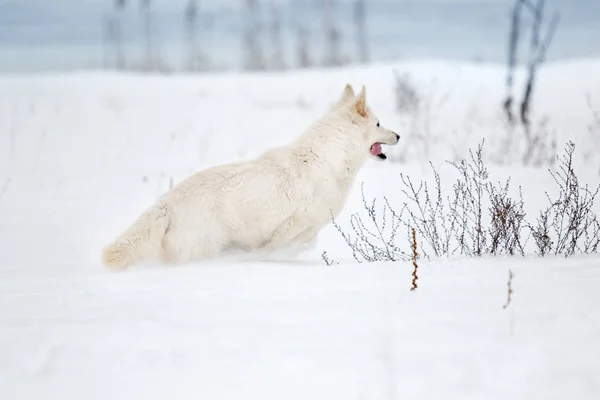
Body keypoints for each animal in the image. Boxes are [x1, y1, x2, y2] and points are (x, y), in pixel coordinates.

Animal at [101, 84, 400, 268]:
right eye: (378, 124)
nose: (398, 135)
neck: (331, 157)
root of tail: (167, 204)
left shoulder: (308, 225)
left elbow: (303, 241)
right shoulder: (294, 221)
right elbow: (281, 245)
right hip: (204, 245)